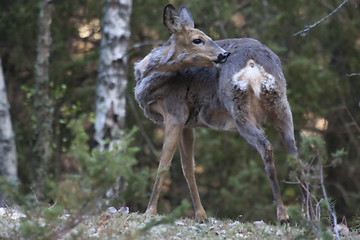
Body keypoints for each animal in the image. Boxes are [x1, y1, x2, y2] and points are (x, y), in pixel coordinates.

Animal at [134, 4, 298, 225]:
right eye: (198, 39)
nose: (223, 55)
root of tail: (253, 62)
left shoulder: (176, 112)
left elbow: (164, 164)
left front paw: (150, 212)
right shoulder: (188, 123)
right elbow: (188, 168)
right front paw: (201, 215)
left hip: (237, 105)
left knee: (266, 146)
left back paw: (283, 215)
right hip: (280, 103)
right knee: (294, 152)